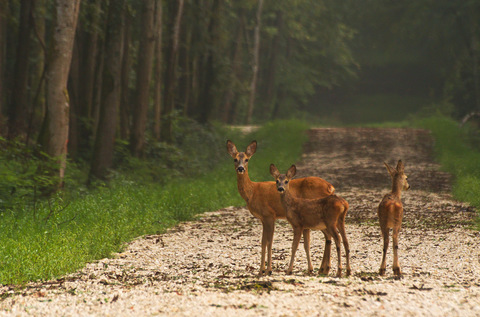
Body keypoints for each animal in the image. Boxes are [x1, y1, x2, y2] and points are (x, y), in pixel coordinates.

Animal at [227, 139, 336, 276]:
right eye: (235, 159)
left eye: (246, 159)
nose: (240, 168)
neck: (252, 192)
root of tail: (330, 187)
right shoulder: (263, 218)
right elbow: (263, 242)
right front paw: (261, 270)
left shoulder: (269, 214)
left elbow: (269, 242)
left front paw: (268, 270)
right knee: (328, 236)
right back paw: (322, 269)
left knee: (328, 235)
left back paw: (323, 269)